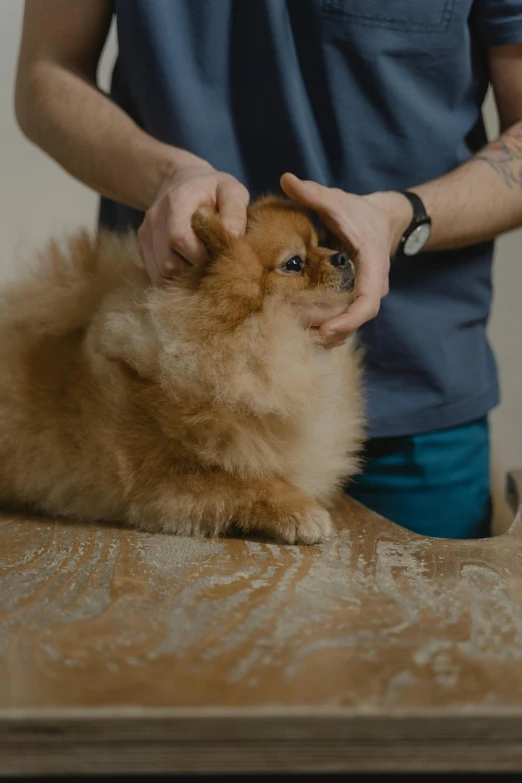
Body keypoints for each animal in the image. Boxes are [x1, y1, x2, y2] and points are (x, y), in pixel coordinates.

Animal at [0, 198, 364, 544]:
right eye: (294, 263)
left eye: (321, 243)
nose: (343, 256)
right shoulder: (166, 477)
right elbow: (250, 480)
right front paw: (301, 511)